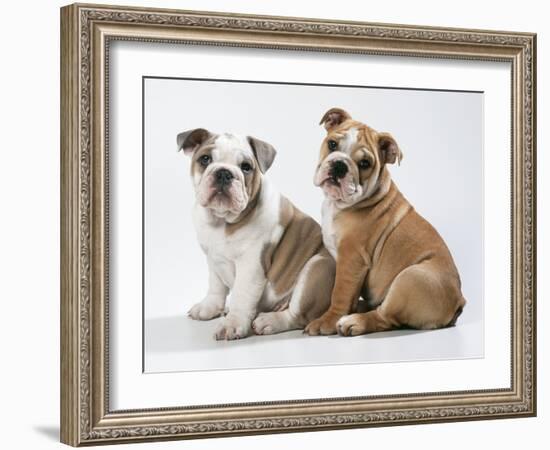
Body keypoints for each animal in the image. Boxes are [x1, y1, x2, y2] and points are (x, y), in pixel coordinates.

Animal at [179, 128, 336, 340]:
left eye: (246, 167)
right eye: (205, 159)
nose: (224, 173)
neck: (222, 221)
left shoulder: (251, 264)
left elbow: (241, 295)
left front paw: (233, 323)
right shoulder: (212, 258)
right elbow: (216, 286)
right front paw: (209, 307)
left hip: (317, 268)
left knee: (298, 315)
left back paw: (270, 321)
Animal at [304, 107, 468, 336]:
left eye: (365, 164)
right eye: (332, 144)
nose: (340, 165)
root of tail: (459, 300)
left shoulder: (351, 258)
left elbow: (340, 292)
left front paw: (327, 321)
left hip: (410, 279)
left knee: (384, 317)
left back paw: (353, 321)